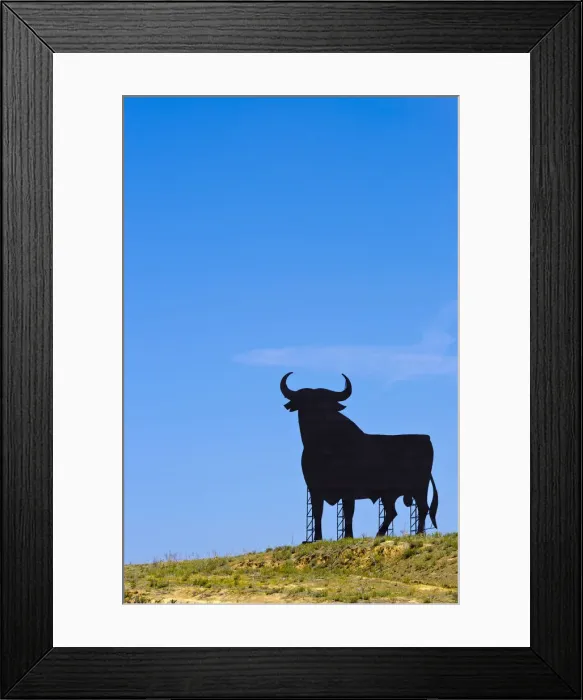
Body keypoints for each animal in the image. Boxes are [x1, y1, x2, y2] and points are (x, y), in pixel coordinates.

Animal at [280, 372, 438, 540]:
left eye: (325, 404)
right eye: (305, 402)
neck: (324, 447)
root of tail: (426, 438)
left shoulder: (348, 488)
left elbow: (348, 512)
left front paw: (348, 536)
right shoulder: (314, 488)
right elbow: (318, 512)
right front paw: (317, 538)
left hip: (419, 487)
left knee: (422, 508)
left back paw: (418, 533)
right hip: (389, 494)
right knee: (392, 512)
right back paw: (379, 534)